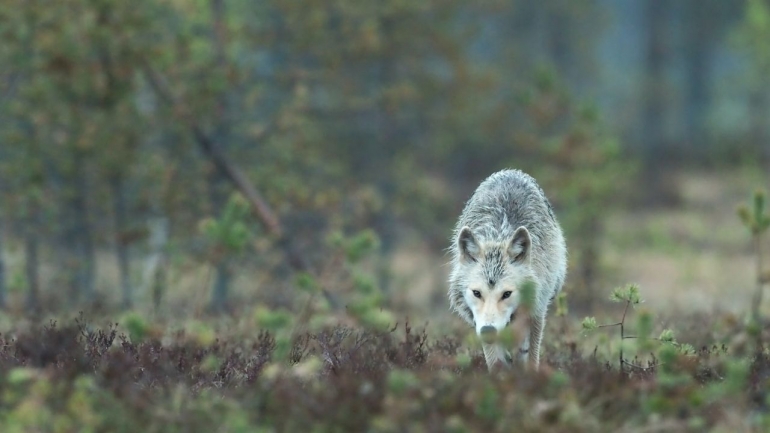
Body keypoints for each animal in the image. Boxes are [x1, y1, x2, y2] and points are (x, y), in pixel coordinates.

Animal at [448, 167, 568, 370]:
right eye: (477, 293)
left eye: (506, 294)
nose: (488, 331)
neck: (499, 235)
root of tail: (512, 171)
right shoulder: (479, 324)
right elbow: (496, 363)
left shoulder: (537, 313)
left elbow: (530, 358)